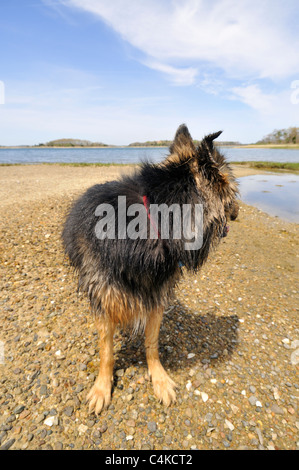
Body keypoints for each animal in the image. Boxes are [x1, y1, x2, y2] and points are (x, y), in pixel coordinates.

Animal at [62, 123, 239, 414]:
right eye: (233, 192)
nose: (237, 212)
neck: (158, 218)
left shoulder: (156, 296)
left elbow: (151, 344)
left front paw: (159, 379)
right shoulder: (104, 299)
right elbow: (106, 351)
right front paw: (102, 388)